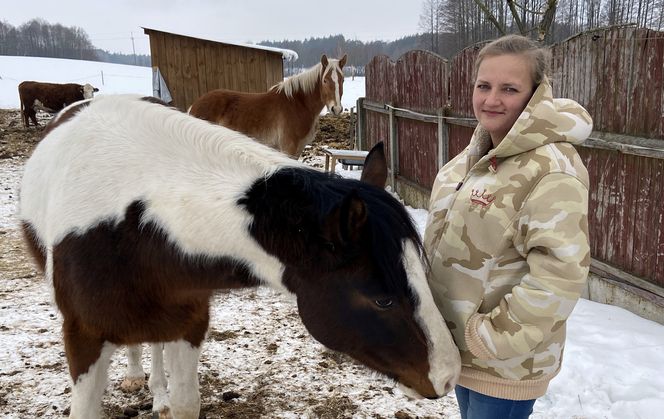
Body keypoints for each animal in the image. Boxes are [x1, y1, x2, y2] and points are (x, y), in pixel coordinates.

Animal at [19, 95, 456, 419]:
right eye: (382, 299)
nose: (449, 377)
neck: (137, 228)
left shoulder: (188, 323)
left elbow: (184, 403)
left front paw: (165, 399)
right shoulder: (83, 337)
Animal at [189, 53, 348, 158]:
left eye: (343, 80)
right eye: (325, 80)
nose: (336, 109)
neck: (298, 104)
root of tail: (194, 105)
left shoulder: (298, 150)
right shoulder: (288, 149)